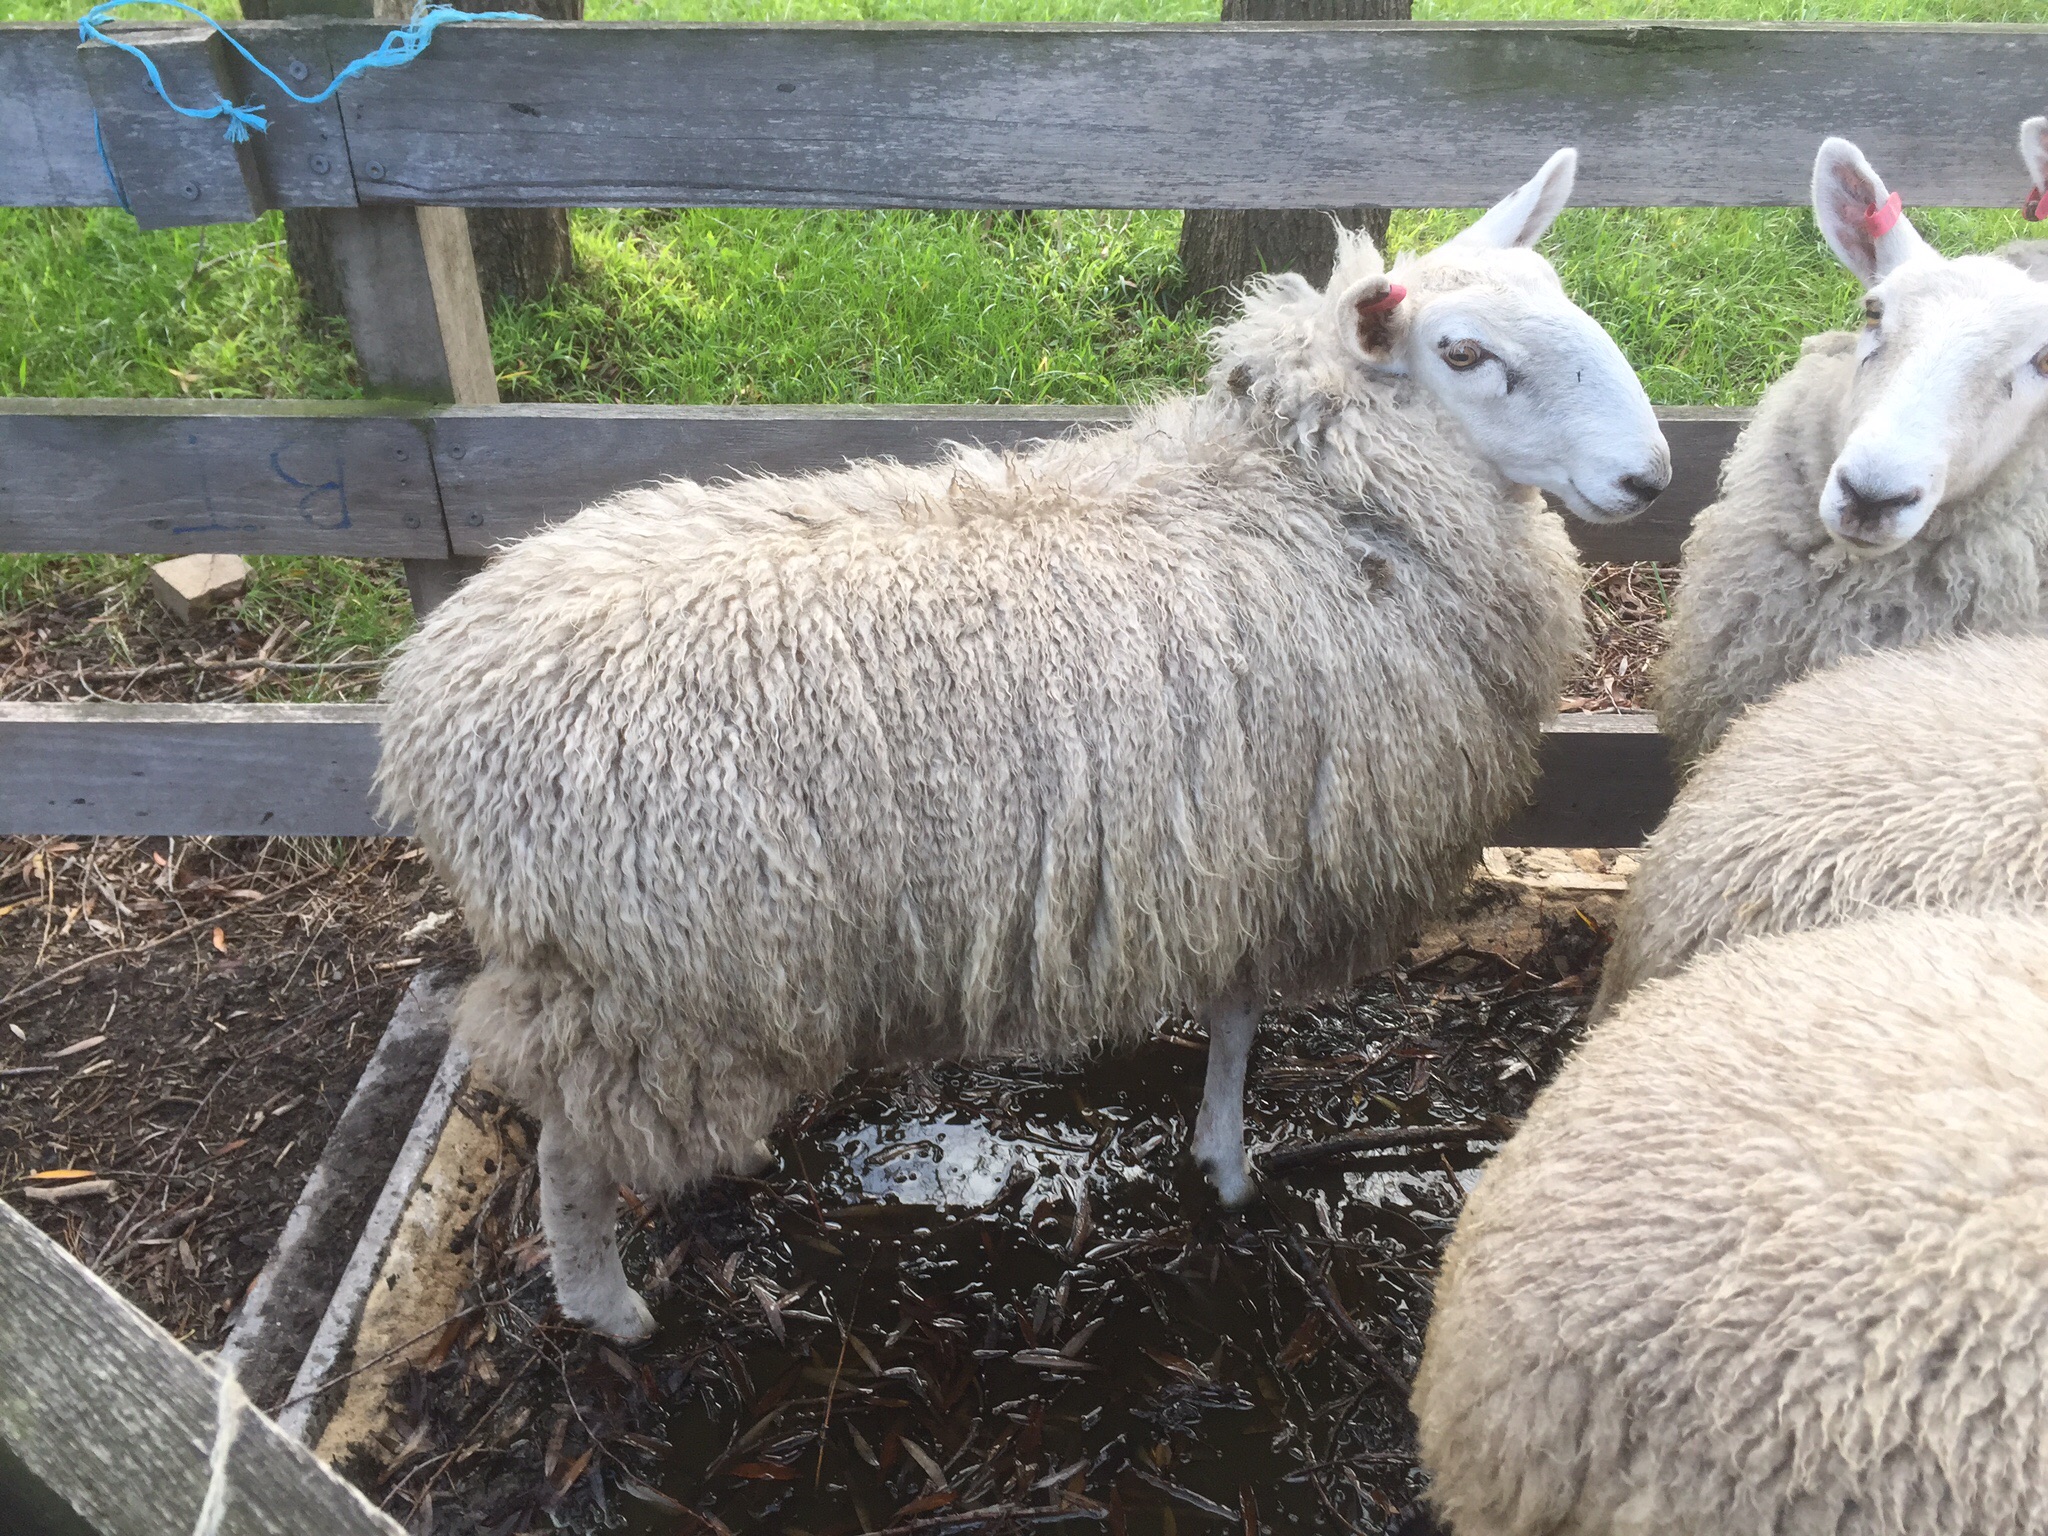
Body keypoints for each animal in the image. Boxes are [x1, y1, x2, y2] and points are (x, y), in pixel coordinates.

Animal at [375, 148, 1671, 1340]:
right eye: (1463, 355)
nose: (1648, 476)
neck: (1322, 500)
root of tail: (423, 710)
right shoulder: (1275, 848)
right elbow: (1241, 1016)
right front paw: (1227, 1165)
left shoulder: (1230, 848)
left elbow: (1230, 1008)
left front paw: (1215, 1152)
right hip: (653, 975)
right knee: (568, 1148)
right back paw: (609, 1309)